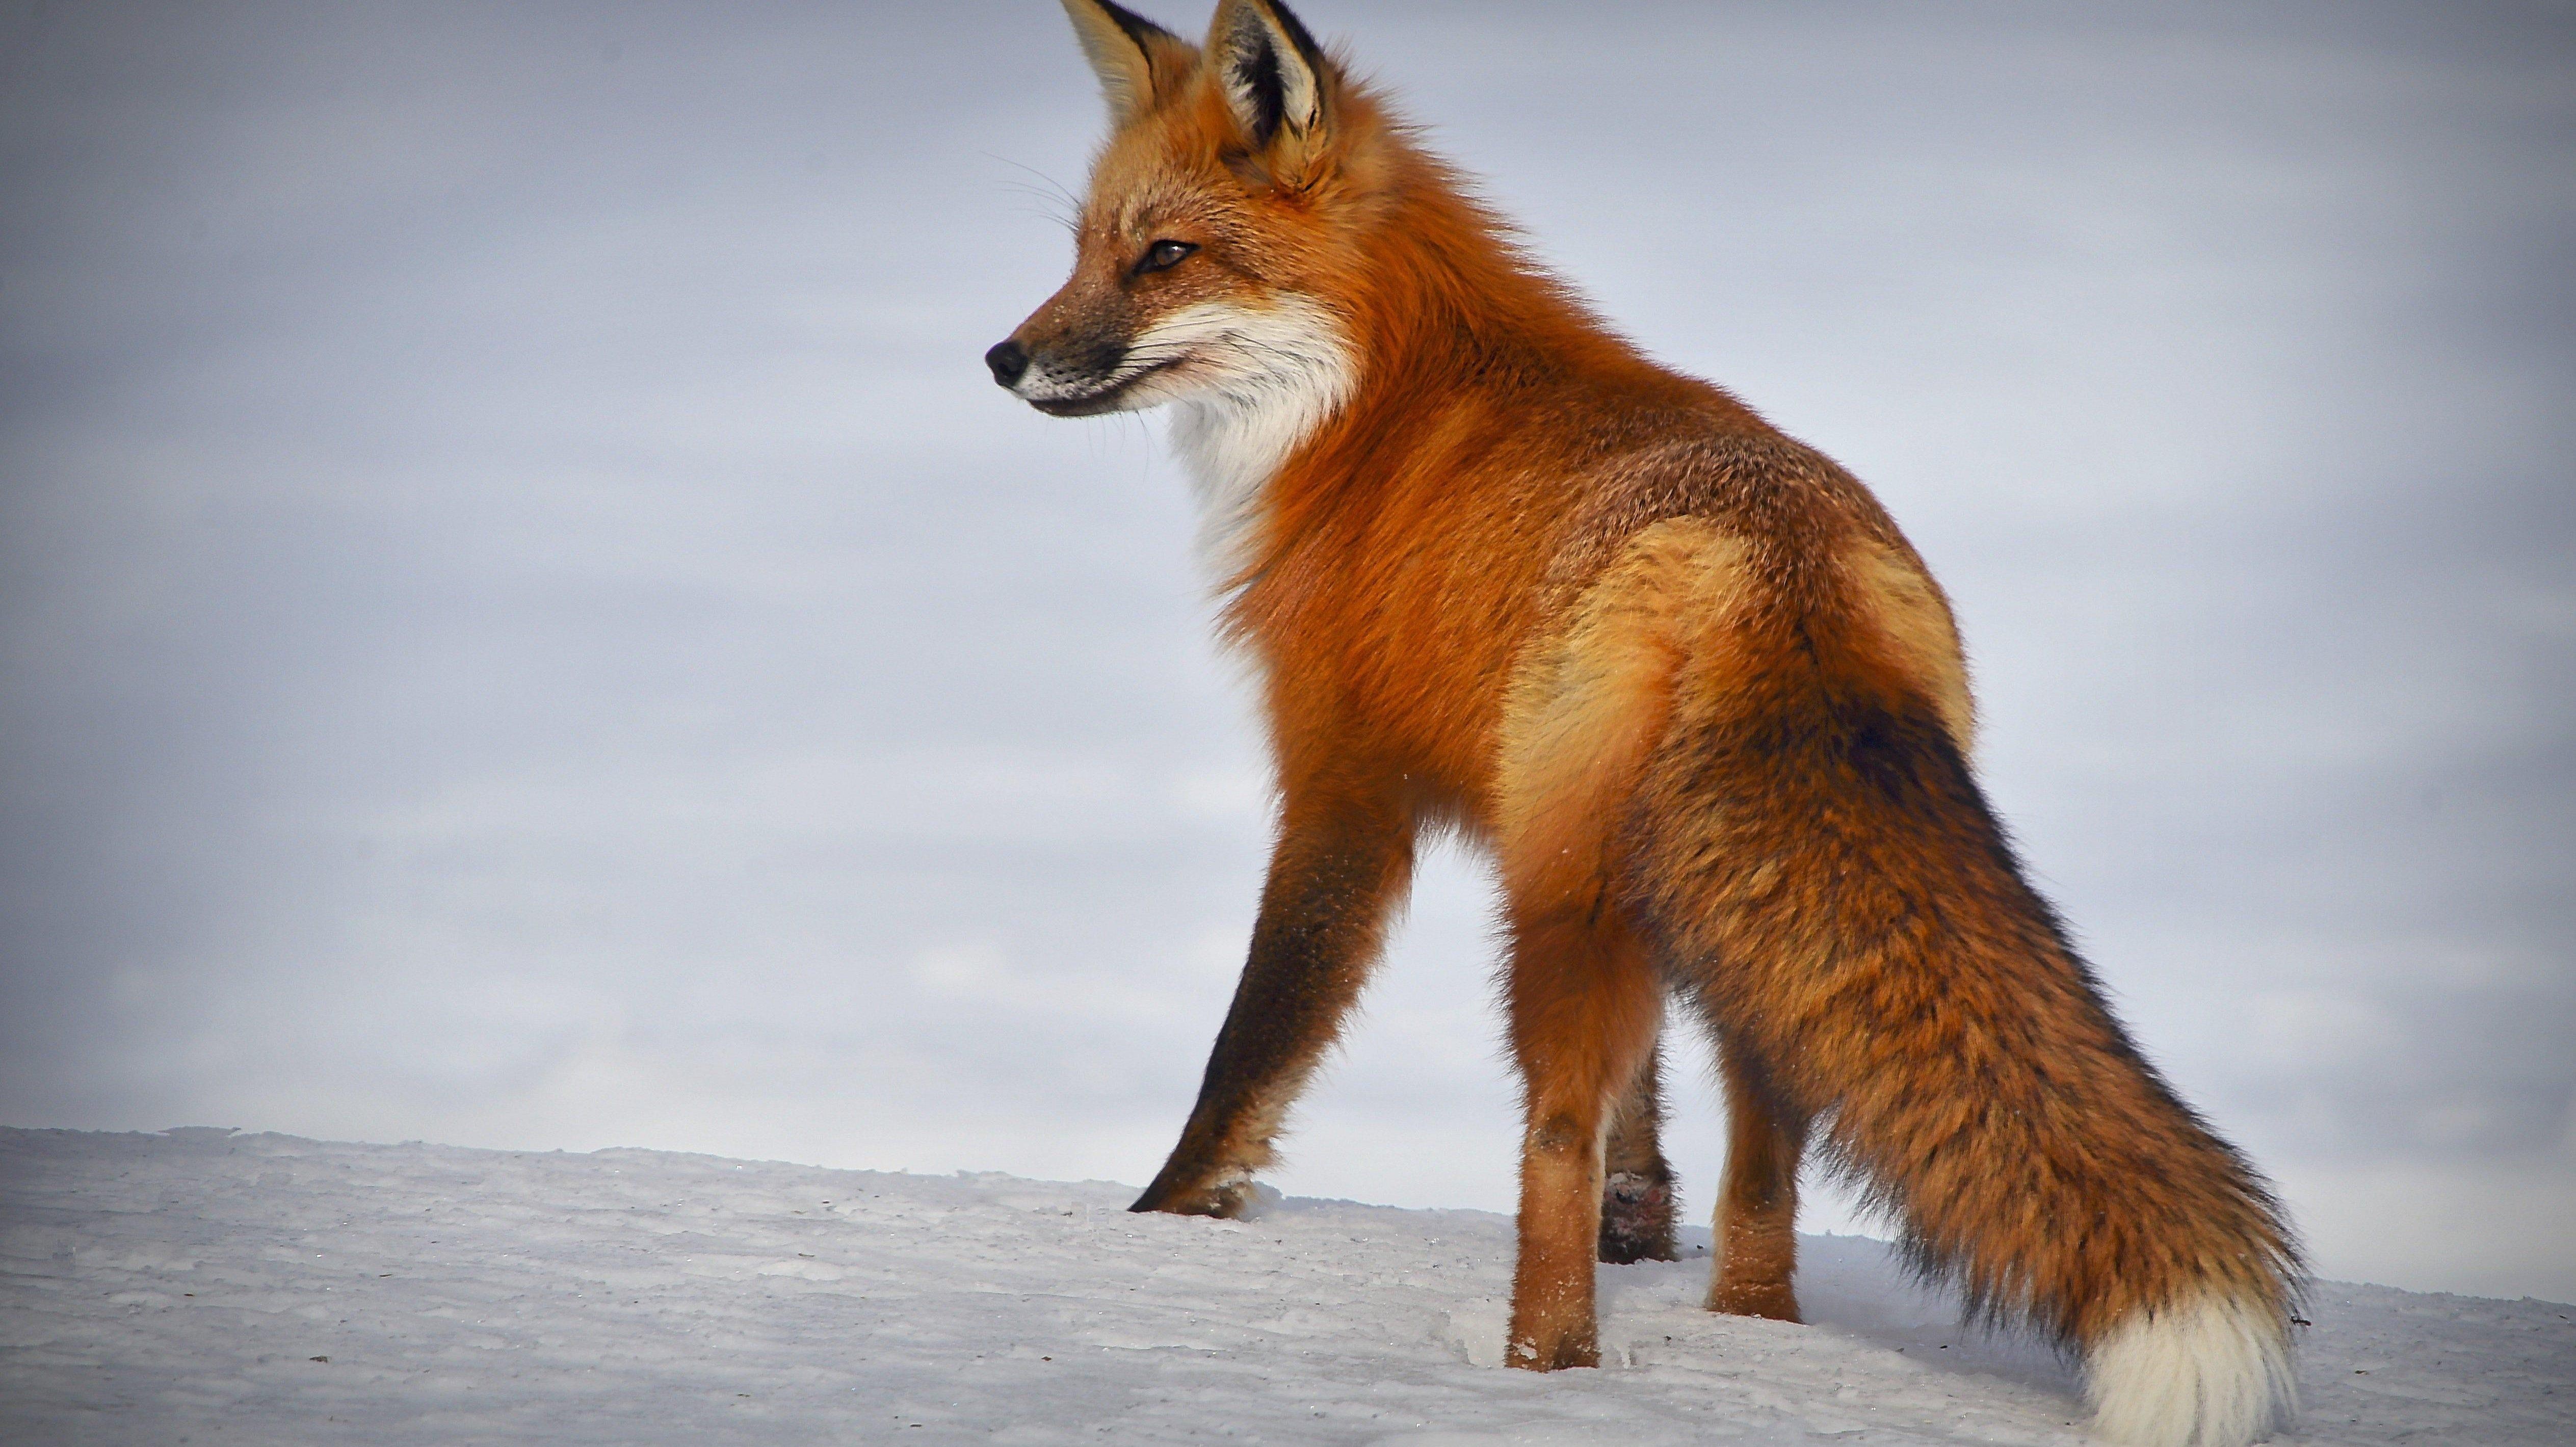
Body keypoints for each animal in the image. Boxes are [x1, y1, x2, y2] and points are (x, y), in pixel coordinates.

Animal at [986, 3, 2303, 1444]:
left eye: (1165, 257)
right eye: (1081, 251)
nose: (1002, 358)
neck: (1373, 411)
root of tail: (1777, 560)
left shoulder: (1344, 781)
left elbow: (1259, 1038)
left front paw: (1166, 1218)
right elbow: (1648, 1114)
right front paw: (1645, 1228)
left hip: (1560, 901)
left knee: (1551, 1138)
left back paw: (1542, 1365)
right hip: (1712, 906)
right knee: (1766, 1156)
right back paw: (1749, 1328)